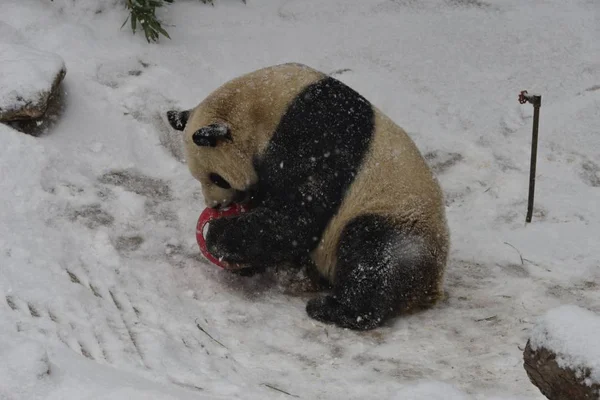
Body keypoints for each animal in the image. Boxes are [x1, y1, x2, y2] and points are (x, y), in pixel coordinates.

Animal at [166, 63, 448, 332]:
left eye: (217, 178)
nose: (216, 205)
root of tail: (429, 287)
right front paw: (245, 259)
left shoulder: (317, 138)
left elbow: (299, 214)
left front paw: (218, 235)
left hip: (397, 217)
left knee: (375, 257)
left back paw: (333, 309)